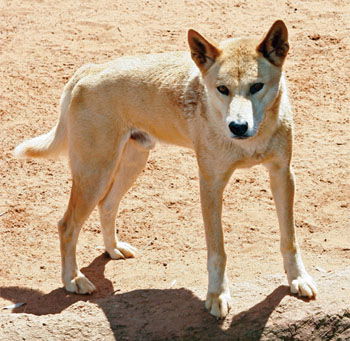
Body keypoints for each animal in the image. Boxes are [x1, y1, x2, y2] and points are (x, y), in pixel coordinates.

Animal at [15, 20, 318, 318]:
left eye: (256, 86)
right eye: (222, 89)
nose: (238, 127)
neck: (252, 139)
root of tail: (89, 69)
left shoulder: (282, 174)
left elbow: (289, 239)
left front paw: (297, 279)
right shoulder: (211, 183)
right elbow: (218, 251)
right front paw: (217, 296)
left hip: (131, 163)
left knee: (107, 205)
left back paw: (113, 249)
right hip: (95, 172)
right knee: (67, 225)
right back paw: (73, 279)